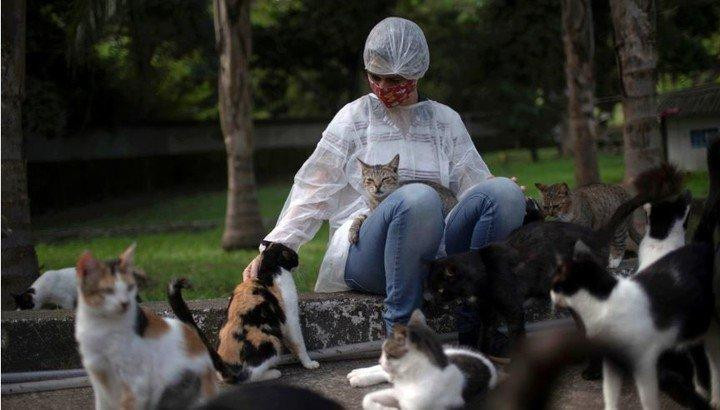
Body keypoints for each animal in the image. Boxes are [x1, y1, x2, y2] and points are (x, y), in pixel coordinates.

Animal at [75, 245, 219, 408]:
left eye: (130, 287)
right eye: (108, 290)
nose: (125, 303)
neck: (101, 326)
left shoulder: (136, 382)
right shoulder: (99, 377)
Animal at [169, 240, 318, 384]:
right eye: (294, 256)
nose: (299, 261)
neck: (268, 272)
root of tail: (226, 367)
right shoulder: (290, 319)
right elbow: (299, 343)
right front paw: (309, 363)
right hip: (270, 341)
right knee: (249, 376)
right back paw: (273, 373)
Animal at [350, 310, 498, 410]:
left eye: (388, 353)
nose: (381, 360)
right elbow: (367, 398)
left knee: (386, 374)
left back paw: (359, 377)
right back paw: (358, 374)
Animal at [424, 163, 684, 362]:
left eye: (441, 288)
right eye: (431, 286)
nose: (431, 299)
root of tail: (594, 236)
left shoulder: (513, 309)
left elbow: (517, 335)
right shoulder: (488, 312)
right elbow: (483, 335)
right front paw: (481, 355)